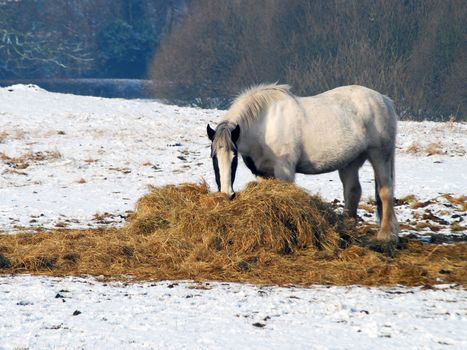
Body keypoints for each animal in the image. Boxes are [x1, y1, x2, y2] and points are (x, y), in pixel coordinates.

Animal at [207, 82, 400, 241]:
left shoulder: (284, 170)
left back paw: (386, 236)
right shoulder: (262, 172)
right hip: (350, 162)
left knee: (385, 192)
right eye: (214, 158)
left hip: (380, 156)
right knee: (352, 192)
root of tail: (384, 100)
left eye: (234, 158)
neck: (265, 124)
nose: (227, 194)